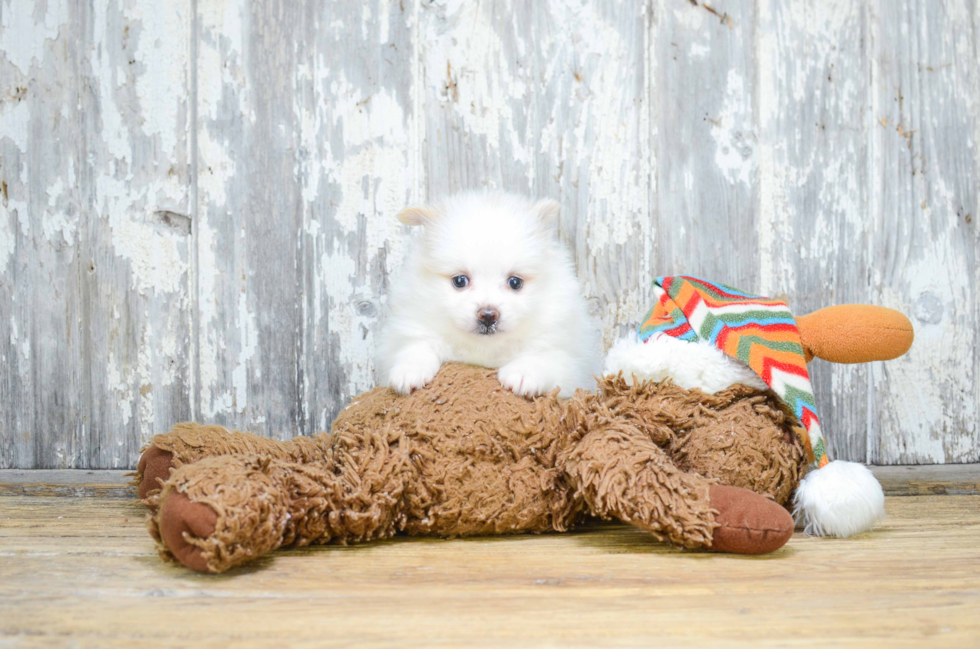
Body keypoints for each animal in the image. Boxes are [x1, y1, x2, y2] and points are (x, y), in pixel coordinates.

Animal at [380, 190, 596, 398]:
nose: (488, 315)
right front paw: (409, 371)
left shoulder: (568, 359)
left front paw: (523, 374)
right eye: (460, 281)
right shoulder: (411, 326)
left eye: (515, 282)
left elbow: (544, 357)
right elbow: (416, 346)